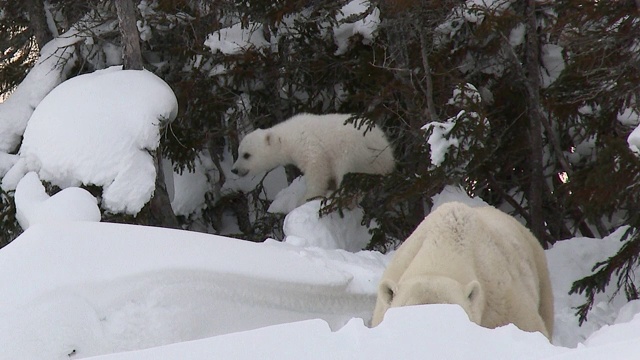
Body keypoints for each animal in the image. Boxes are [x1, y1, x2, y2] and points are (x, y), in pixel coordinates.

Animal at [230, 114, 396, 204]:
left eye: (246, 155)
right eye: (239, 152)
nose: (234, 169)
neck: (288, 137)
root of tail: (388, 155)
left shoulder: (310, 146)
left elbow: (317, 169)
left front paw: (306, 198)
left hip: (356, 153)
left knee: (347, 172)